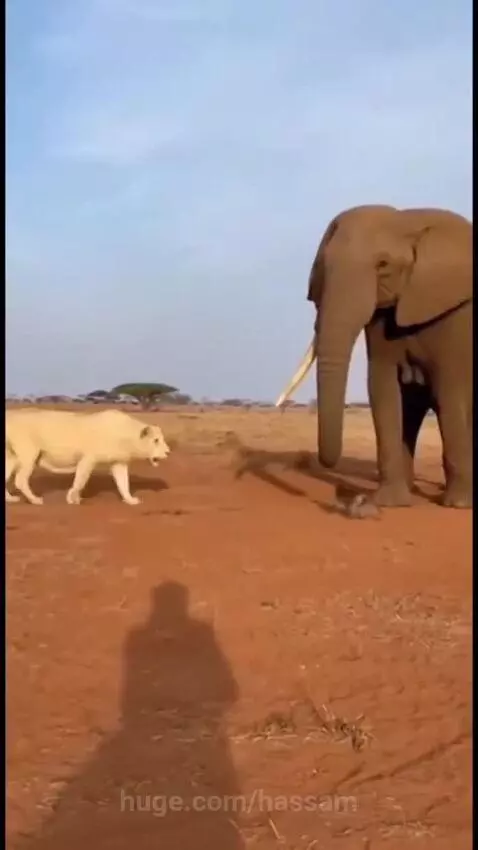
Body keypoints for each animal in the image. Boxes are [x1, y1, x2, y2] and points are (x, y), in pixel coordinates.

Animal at [5, 407, 171, 506]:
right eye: (156, 440)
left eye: (161, 439)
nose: (168, 452)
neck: (126, 435)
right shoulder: (88, 458)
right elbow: (80, 480)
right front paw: (73, 499)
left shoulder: (119, 462)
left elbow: (123, 483)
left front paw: (130, 500)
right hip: (29, 453)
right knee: (20, 480)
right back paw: (35, 500)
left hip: (11, 457)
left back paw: (10, 499)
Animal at [276, 204, 472, 508]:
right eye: (323, 267)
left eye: (383, 265)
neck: (406, 221)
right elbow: (382, 386)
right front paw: (390, 503)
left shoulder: (456, 316)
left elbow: (450, 390)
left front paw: (457, 505)